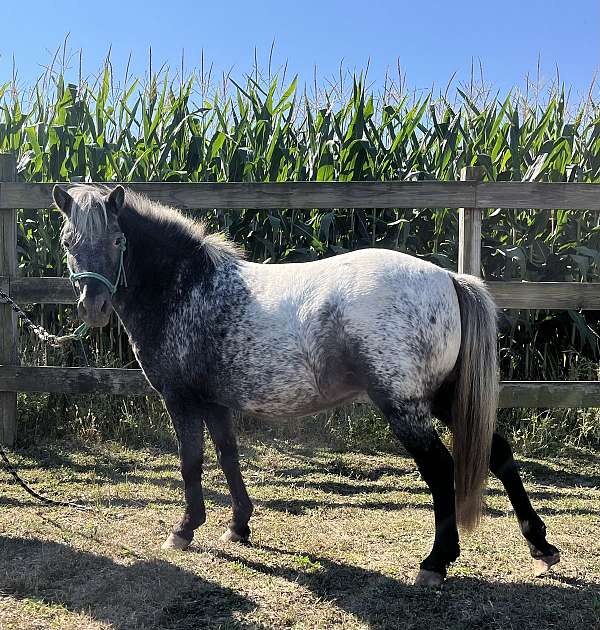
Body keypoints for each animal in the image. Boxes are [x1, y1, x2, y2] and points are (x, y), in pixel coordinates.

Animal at [54, 185, 560, 592]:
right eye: (67, 242)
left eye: (117, 239)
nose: (93, 307)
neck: (188, 287)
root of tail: (449, 278)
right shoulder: (216, 403)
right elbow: (228, 457)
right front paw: (238, 526)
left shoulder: (182, 400)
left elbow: (191, 462)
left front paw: (184, 530)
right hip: (441, 398)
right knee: (499, 453)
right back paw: (540, 546)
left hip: (405, 406)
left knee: (440, 468)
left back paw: (435, 563)